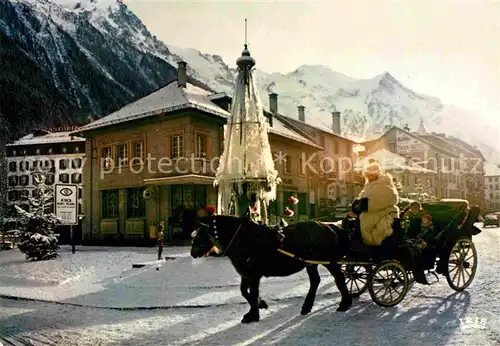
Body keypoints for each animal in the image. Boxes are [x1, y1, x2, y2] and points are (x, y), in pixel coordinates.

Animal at [190, 215, 352, 324]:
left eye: (199, 234)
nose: (192, 253)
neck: (242, 238)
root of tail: (329, 226)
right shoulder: (246, 274)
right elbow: (244, 292)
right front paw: (259, 305)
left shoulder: (253, 275)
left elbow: (252, 293)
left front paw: (254, 314)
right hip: (311, 263)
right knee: (315, 281)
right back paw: (307, 307)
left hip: (329, 262)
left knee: (339, 278)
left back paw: (345, 303)